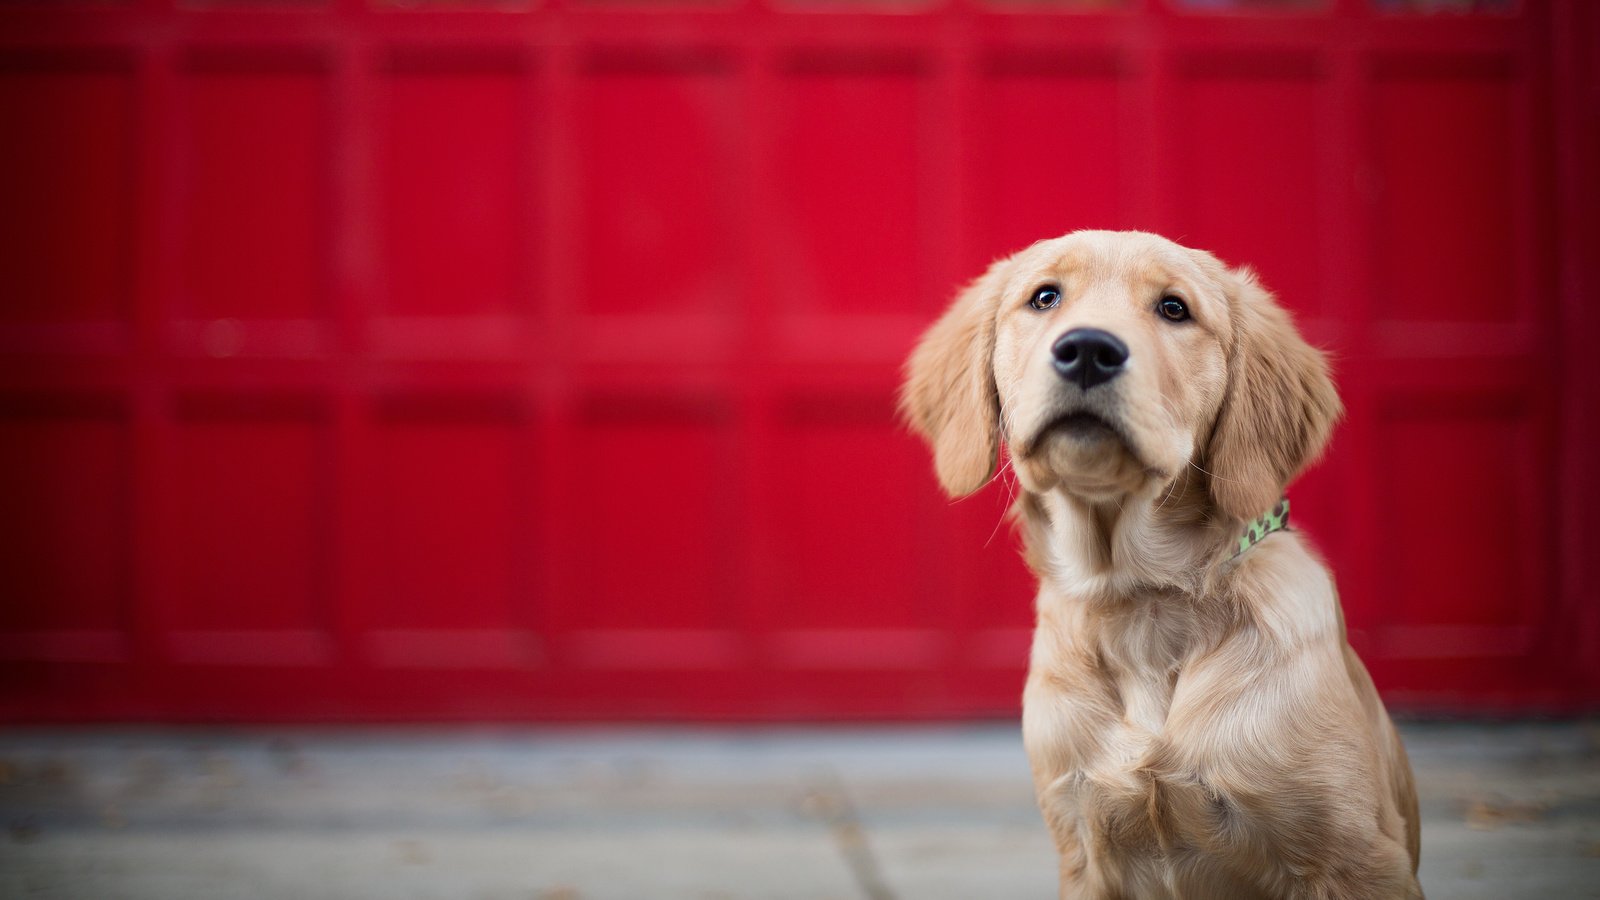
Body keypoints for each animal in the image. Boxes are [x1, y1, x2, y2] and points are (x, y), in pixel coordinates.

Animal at [902, 230, 1427, 896]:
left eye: (1174, 308)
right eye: (1044, 297)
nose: (1088, 351)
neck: (1138, 601)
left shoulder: (1356, 859)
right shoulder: (1084, 849)